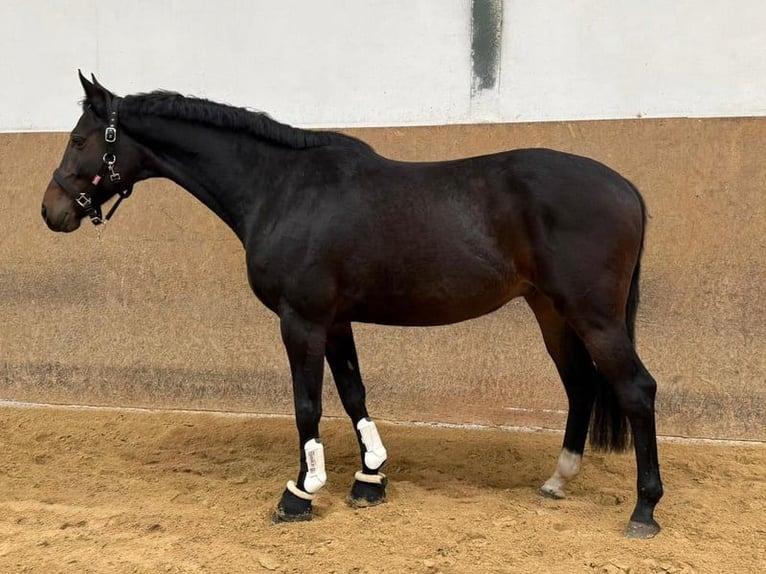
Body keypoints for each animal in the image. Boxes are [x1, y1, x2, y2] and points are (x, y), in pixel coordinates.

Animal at [41, 72, 663, 538]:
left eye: (80, 140)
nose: (52, 211)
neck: (282, 188)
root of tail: (627, 188)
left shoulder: (302, 321)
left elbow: (307, 405)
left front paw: (299, 493)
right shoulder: (336, 321)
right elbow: (353, 393)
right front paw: (369, 480)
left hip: (593, 316)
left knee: (636, 390)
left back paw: (644, 510)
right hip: (551, 311)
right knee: (580, 385)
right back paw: (559, 481)